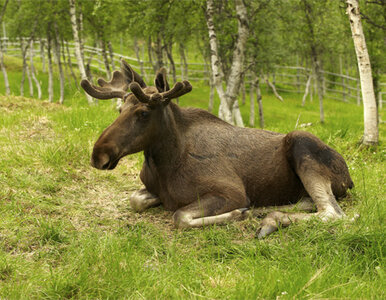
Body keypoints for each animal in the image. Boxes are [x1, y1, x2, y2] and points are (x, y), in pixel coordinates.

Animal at [81, 59, 352, 238]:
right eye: (119, 109)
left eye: (144, 112)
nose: (98, 155)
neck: (165, 161)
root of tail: (349, 179)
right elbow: (135, 200)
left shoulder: (231, 192)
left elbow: (179, 216)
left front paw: (237, 214)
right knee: (311, 202)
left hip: (301, 141)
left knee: (333, 213)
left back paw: (269, 219)